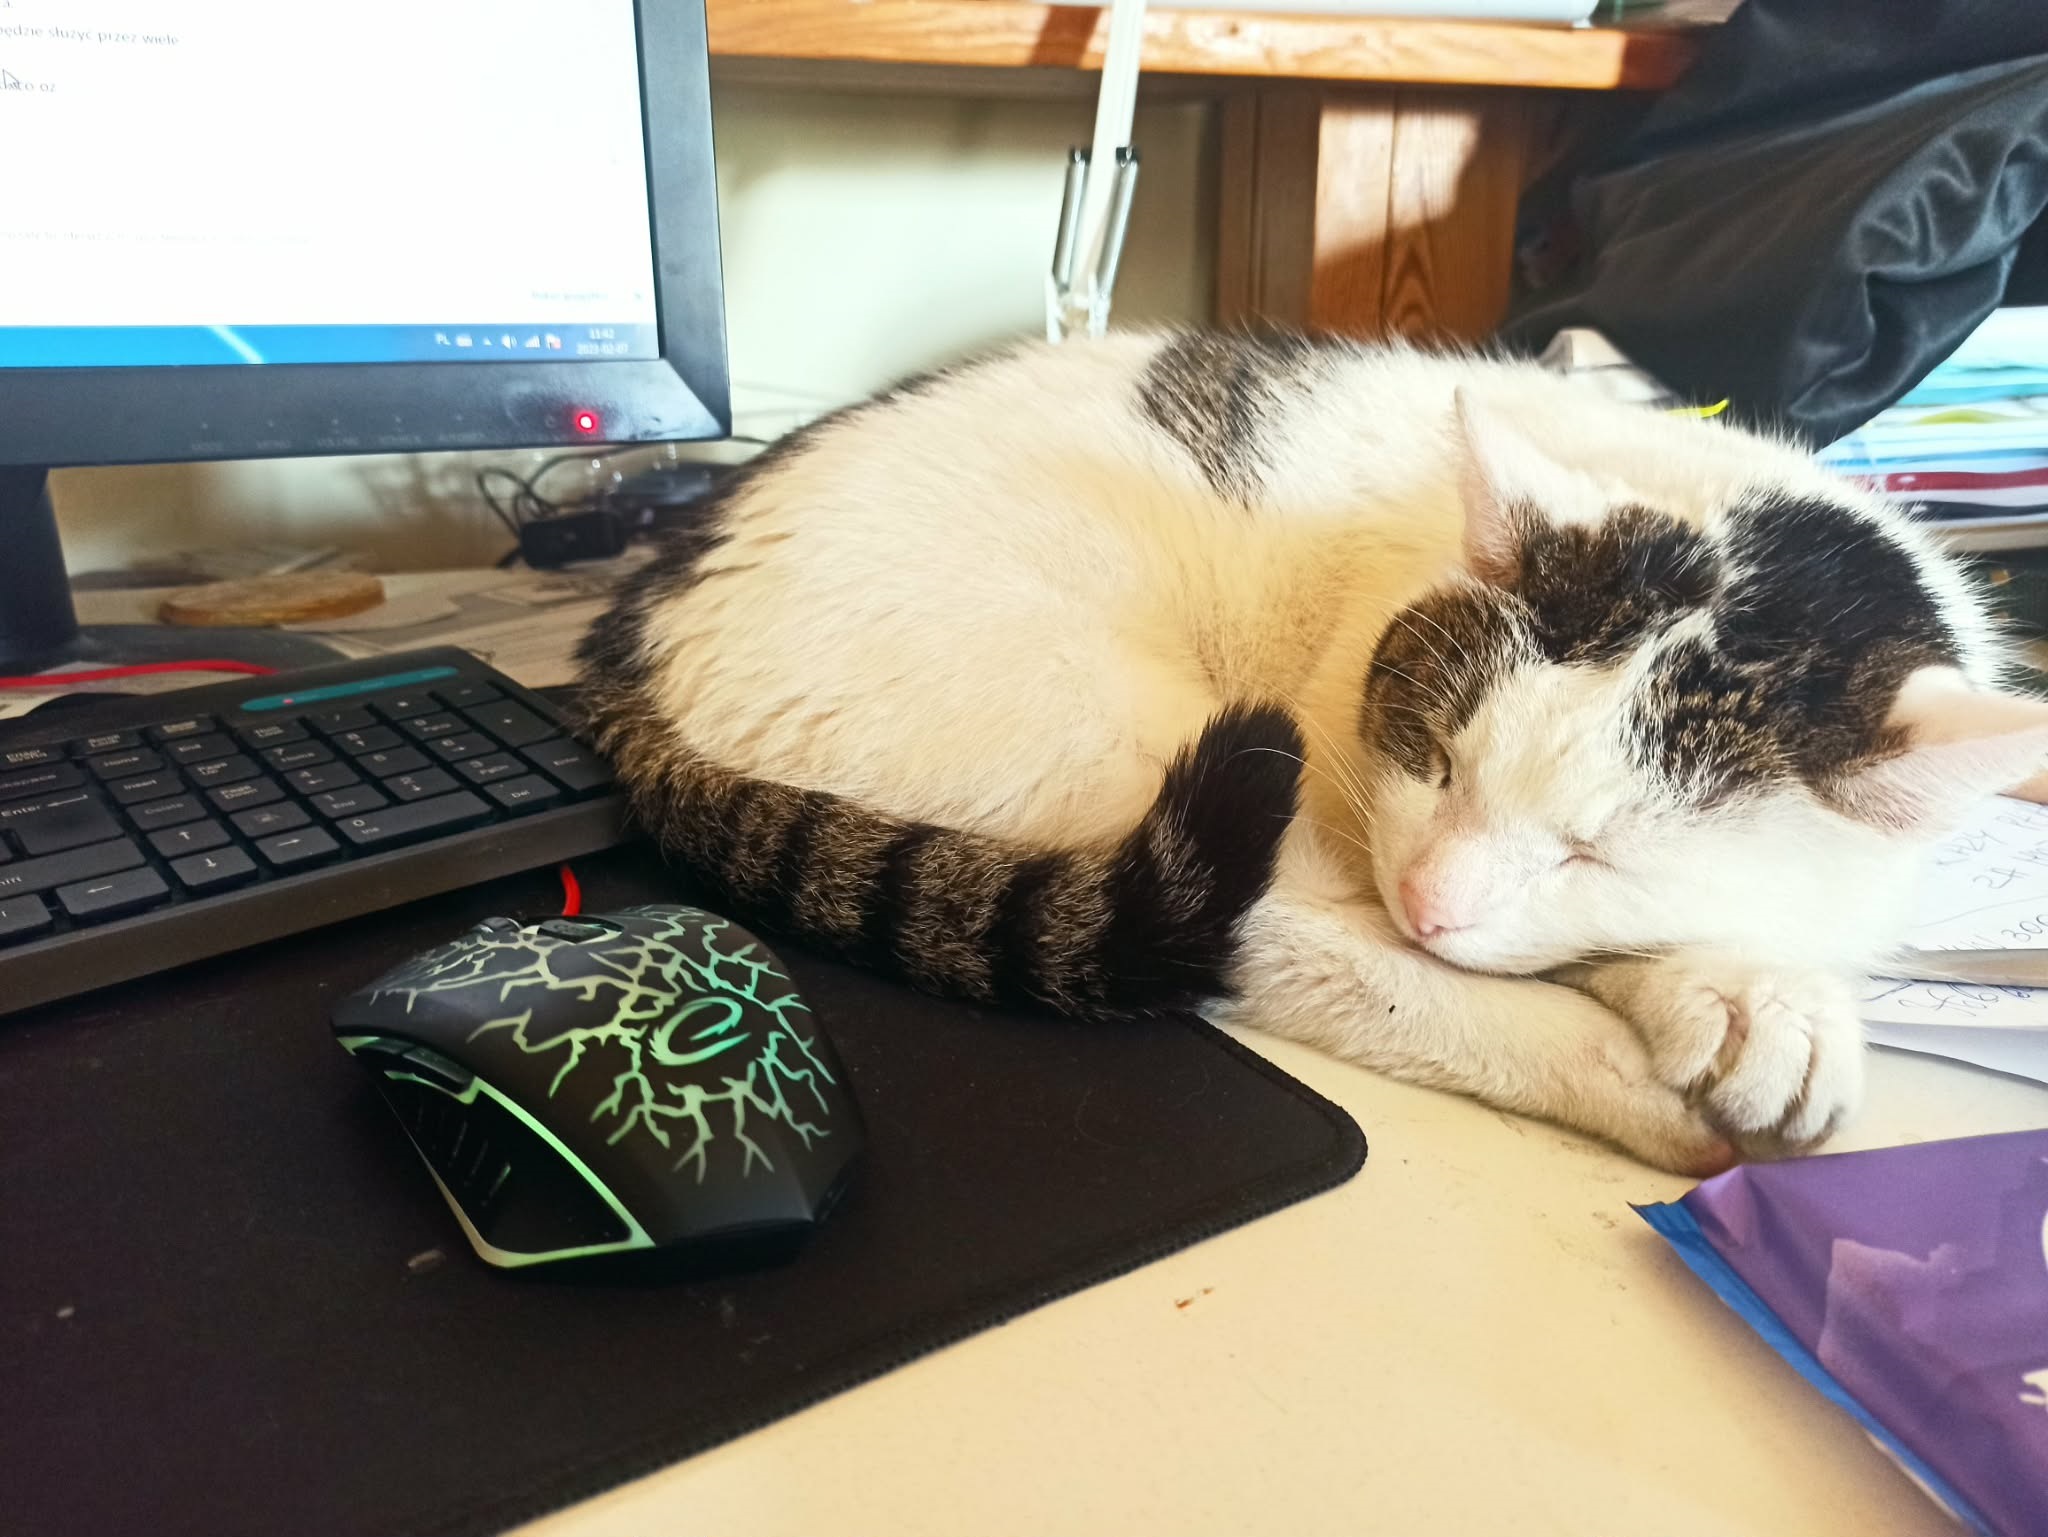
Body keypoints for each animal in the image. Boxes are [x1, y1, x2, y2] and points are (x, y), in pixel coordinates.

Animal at [577, 330, 2048, 1174]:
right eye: (1439, 759)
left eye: (1595, 852)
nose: (1430, 901)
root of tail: (633, 629)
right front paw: (1741, 999)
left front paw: (1737, 985)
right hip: (1136, 737)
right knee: (1274, 947)